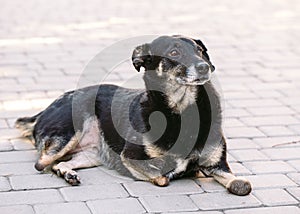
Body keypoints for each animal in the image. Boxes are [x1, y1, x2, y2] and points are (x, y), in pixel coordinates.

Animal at [15, 34, 252, 196]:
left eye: (200, 51)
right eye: (174, 52)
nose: (204, 67)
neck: (183, 111)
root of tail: (43, 110)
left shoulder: (218, 166)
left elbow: (242, 185)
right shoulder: (129, 156)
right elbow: (162, 176)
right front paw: (176, 170)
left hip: (92, 154)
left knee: (59, 163)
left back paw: (68, 173)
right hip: (71, 129)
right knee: (42, 163)